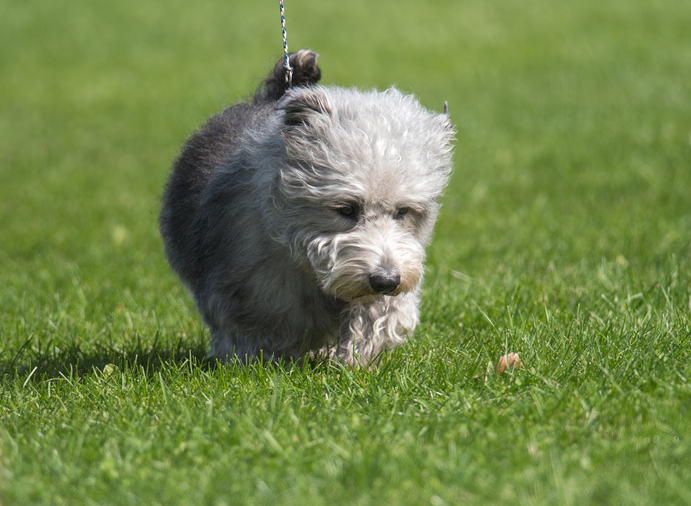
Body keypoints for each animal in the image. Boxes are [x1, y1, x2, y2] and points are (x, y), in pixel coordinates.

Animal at [159, 50, 456, 364]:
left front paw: (355, 357)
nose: (386, 280)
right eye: (346, 209)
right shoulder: (244, 293)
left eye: (403, 212)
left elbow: (378, 315)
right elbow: (254, 334)